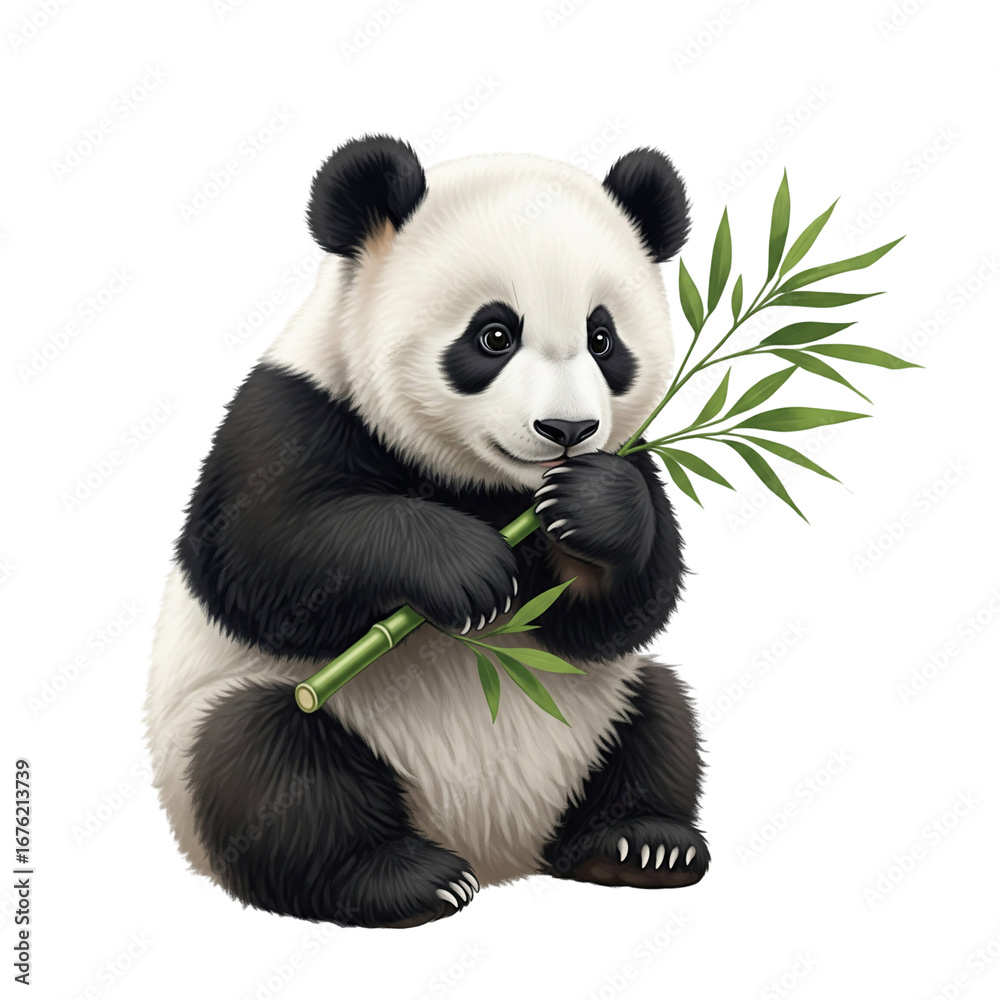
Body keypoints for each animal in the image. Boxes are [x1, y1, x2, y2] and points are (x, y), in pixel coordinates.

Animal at [145, 135, 709, 929]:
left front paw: (594, 507)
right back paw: (401, 878)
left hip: (601, 715)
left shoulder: (631, 453)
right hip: (242, 720)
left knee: (658, 712)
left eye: (603, 339)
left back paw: (639, 843)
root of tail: (501, 851)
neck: (485, 487)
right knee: (269, 761)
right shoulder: (291, 411)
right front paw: (467, 572)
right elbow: (263, 556)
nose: (567, 430)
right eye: (494, 334)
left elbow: (618, 614)